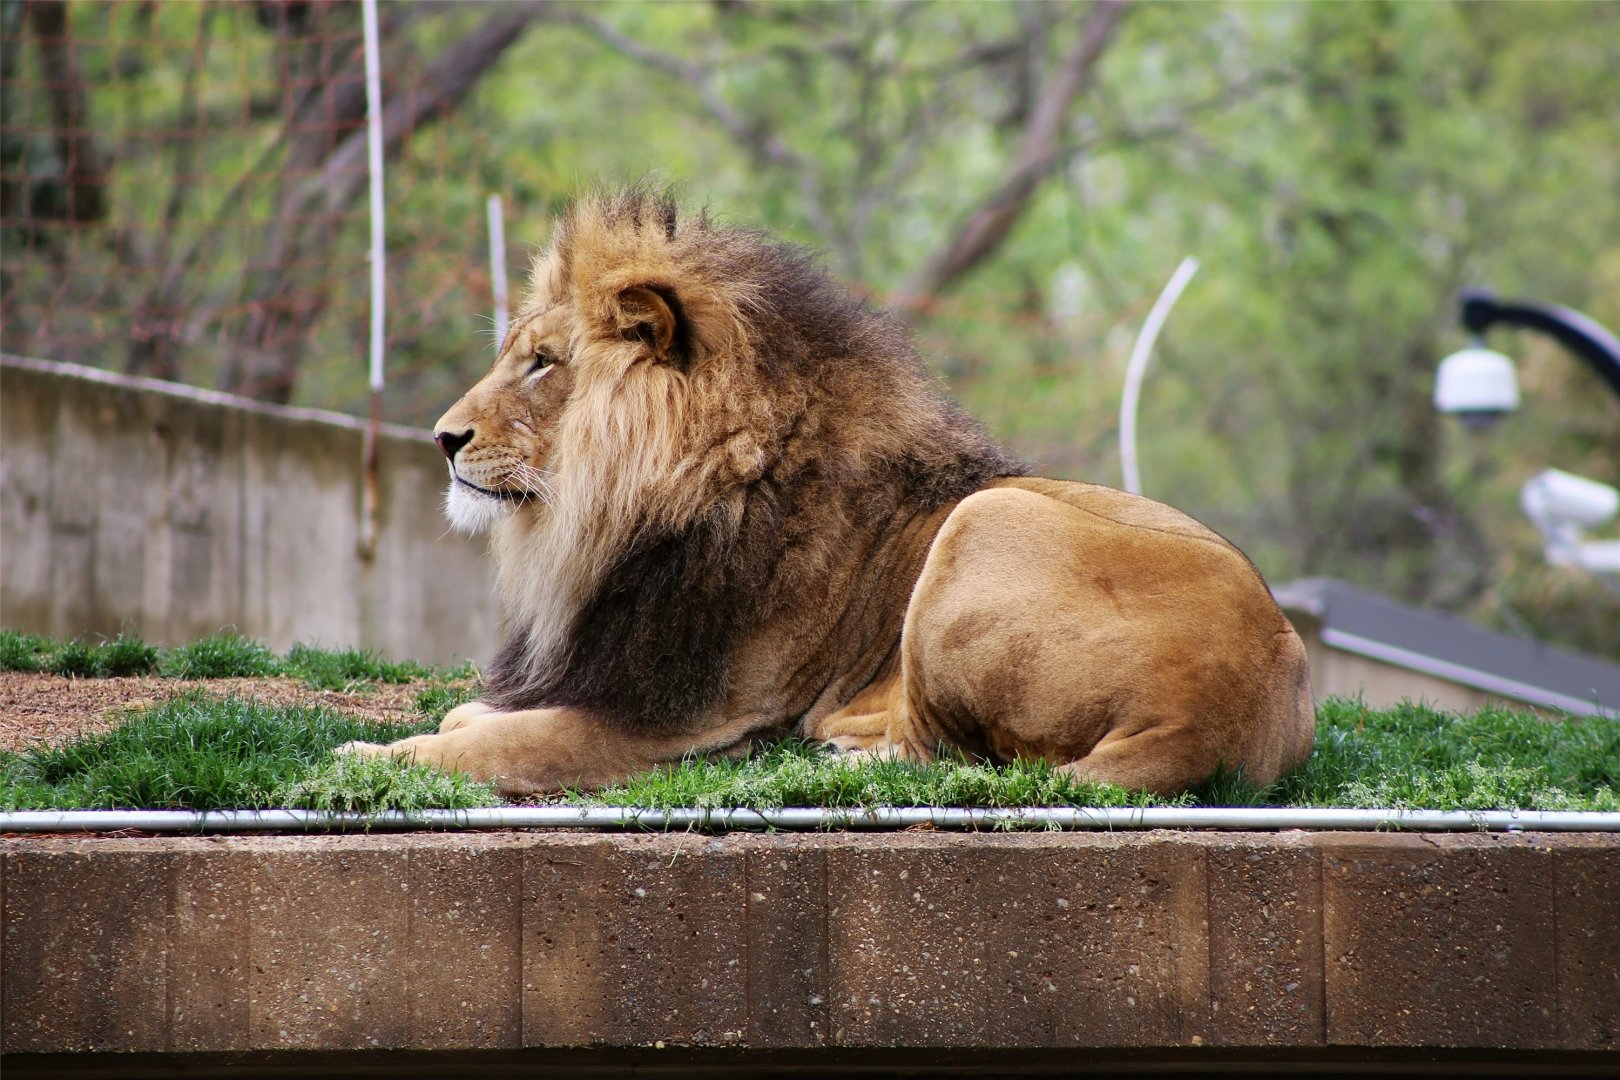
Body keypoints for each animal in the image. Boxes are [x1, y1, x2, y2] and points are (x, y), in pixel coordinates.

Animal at [341, 187, 1315, 797]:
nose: (442, 439)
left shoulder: (690, 721)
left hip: (986, 517)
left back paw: (829, 761)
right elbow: (476, 713)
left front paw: (371, 754)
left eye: (543, 363)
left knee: (938, 753)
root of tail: (1223, 705)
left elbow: (509, 741)